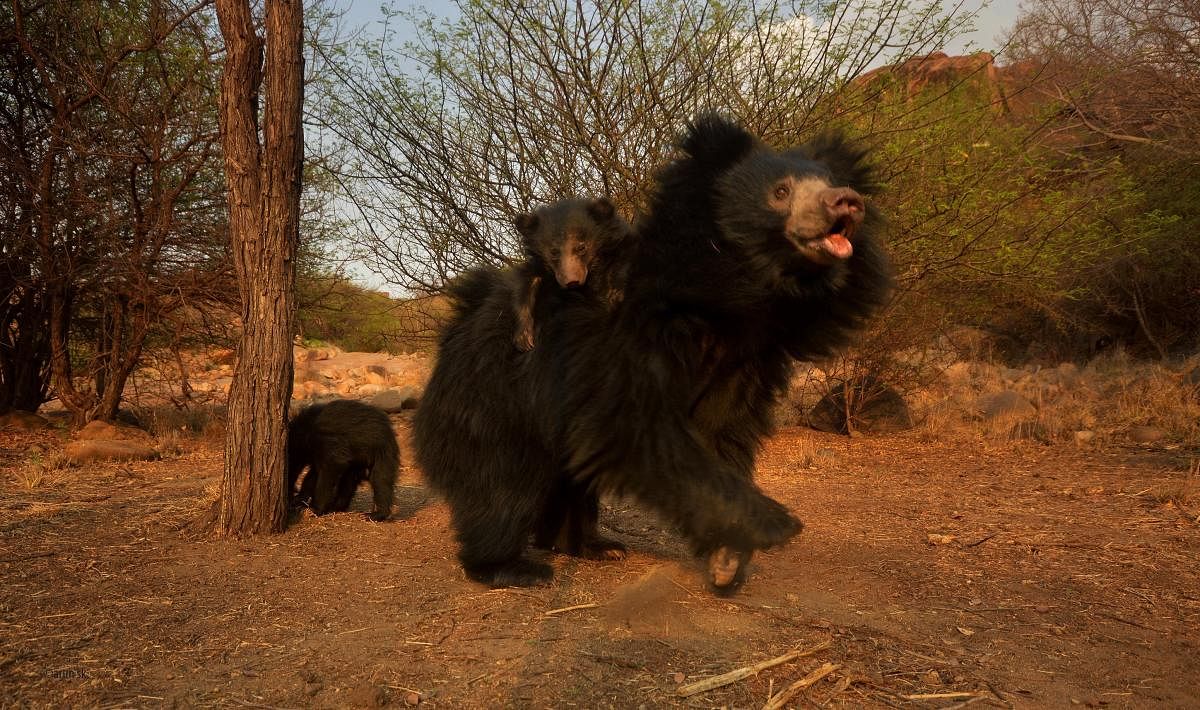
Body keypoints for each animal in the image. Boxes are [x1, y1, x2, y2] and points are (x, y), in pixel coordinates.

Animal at [412, 116, 892, 592]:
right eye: (781, 191)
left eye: (836, 183)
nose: (847, 202)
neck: (732, 301)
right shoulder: (624, 342)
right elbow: (635, 427)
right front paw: (774, 524)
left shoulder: (743, 360)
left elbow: (722, 429)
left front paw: (727, 559)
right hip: (493, 410)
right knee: (502, 490)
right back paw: (512, 565)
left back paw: (592, 546)